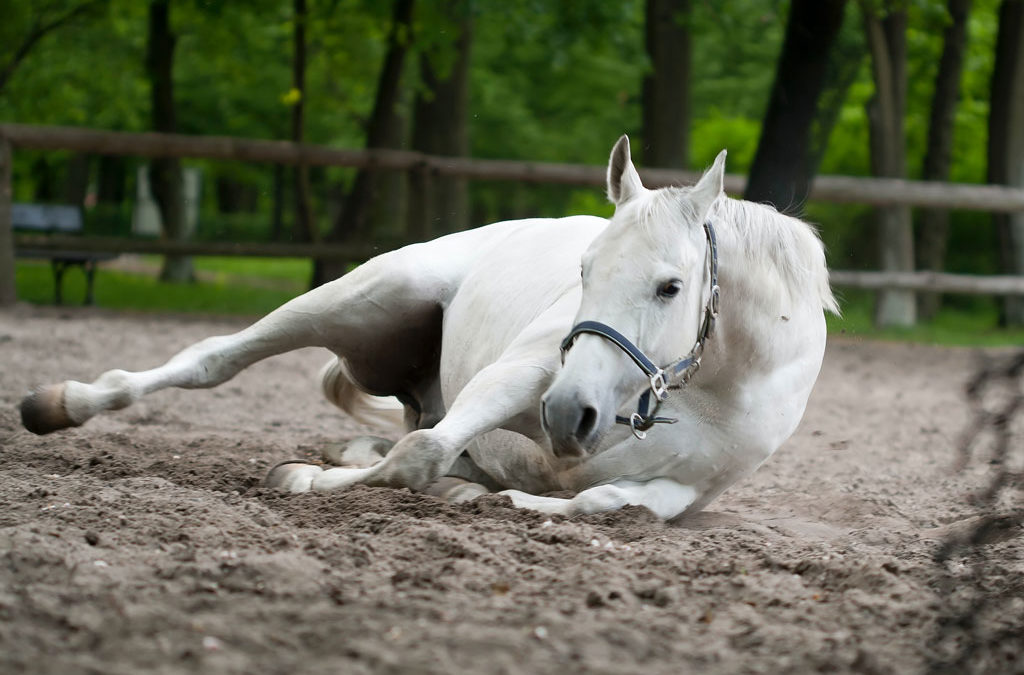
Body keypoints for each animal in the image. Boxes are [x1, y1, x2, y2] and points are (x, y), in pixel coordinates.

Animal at [19, 136, 835, 518]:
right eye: (584, 270)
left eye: (671, 286)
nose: (570, 415)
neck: (713, 386)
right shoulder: (524, 376)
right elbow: (421, 454)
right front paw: (304, 479)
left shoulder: (688, 488)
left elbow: (606, 500)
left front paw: (502, 500)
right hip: (358, 298)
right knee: (214, 359)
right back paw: (59, 404)